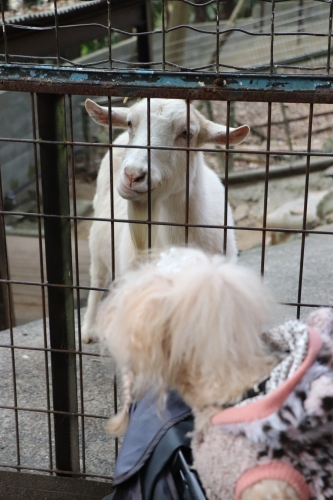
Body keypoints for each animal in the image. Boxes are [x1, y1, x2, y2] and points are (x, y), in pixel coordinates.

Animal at [81, 98, 249, 342]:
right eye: (130, 123)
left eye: (186, 133)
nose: (132, 175)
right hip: (96, 243)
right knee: (97, 278)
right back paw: (89, 329)